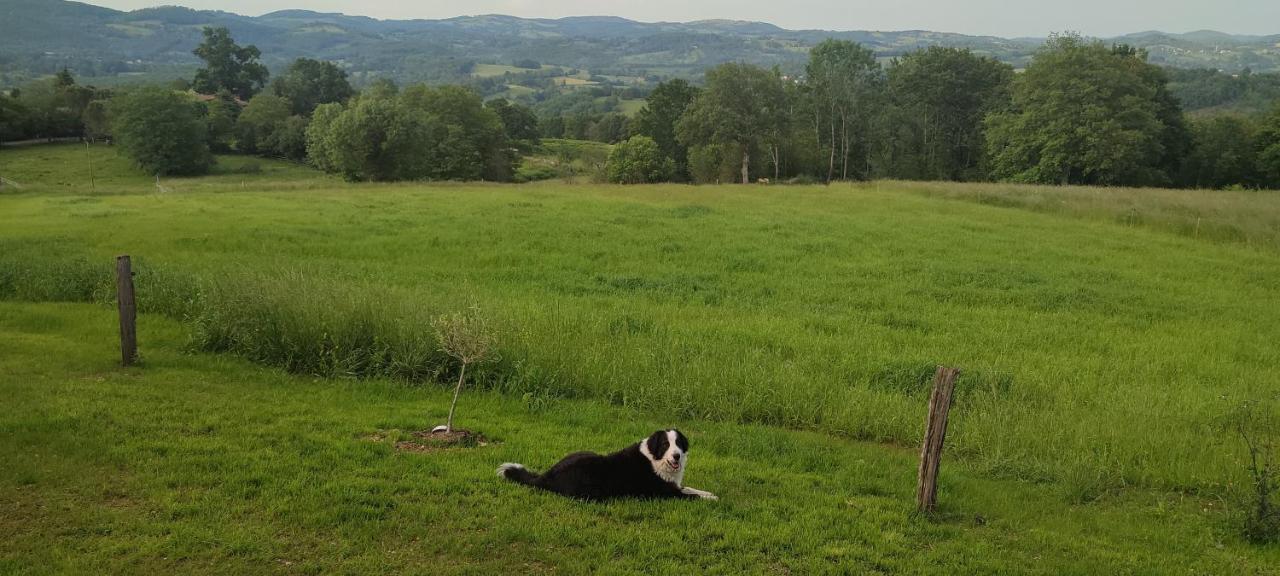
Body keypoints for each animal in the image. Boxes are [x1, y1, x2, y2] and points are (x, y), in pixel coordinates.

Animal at [496, 430, 721, 501]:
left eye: (679, 444)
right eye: (666, 445)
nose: (676, 456)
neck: (654, 460)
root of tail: (547, 475)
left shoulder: (675, 485)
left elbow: (693, 489)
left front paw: (711, 494)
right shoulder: (667, 493)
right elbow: (693, 496)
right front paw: (712, 499)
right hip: (593, 491)